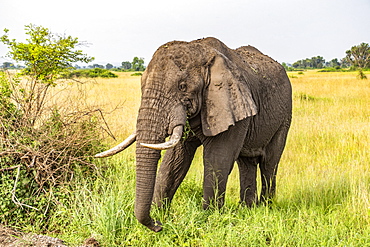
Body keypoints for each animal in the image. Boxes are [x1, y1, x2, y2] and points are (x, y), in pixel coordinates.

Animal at [95, 36, 292, 232]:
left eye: (182, 86)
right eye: (142, 85)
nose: (157, 226)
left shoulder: (230, 103)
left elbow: (217, 159)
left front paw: (208, 220)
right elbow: (175, 160)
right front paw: (161, 214)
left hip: (285, 116)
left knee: (269, 163)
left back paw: (265, 207)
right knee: (246, 162)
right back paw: (247, 209)